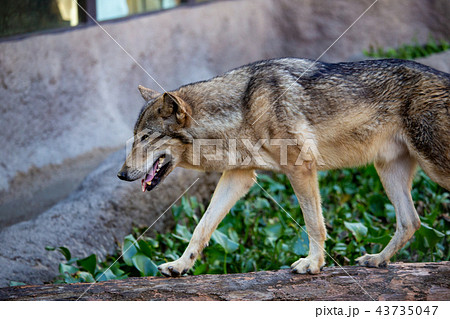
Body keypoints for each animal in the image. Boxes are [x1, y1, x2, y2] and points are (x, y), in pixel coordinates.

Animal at [117, 58, 450, 278]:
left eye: (146, 137)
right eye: (134, 137)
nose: (121, 174)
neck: (241, 110)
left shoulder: (300, 168)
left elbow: (314, 224)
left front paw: (313, 264)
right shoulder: (238, 177)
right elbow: (202, 226)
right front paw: (180, 265)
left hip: (433, 170)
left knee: (412, 221)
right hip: (388, 173)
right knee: (412, 222)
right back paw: (378, 259)